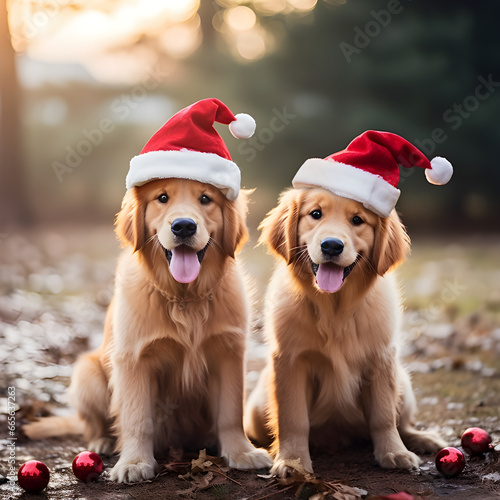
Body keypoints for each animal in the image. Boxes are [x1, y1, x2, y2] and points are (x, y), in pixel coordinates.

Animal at [25, 179, 272, 480]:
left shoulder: (229, 354)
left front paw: (242, 452)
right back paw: (103, 442)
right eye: (162, 198)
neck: (184, 298)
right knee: (93, 424)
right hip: (87, 374)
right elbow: (137, 418)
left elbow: (230, 413)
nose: (183, 226)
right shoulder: (134, 359)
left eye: (205, 199)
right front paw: (134, 463)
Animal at [244, 188, 444, 476]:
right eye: (316, 214)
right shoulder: (290, 361)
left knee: (402, 423)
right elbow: (293, 418)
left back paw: (423, 439)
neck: (335, 308)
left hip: (403, 383)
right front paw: (292, 461)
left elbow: (384, 416)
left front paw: (393, 453)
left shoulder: (381, 359)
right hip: (258, 407)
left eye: (358, 220)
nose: (331, 245)